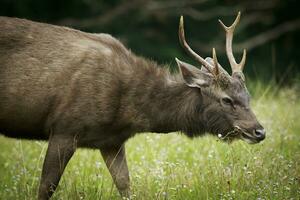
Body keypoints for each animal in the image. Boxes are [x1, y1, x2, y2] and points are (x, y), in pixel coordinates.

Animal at [0, 12, 262, 198]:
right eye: (226, 99)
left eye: (248, 96)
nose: (260, 131)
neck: (128, 111)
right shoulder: (64, 127)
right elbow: (46, 187)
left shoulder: (111, 141)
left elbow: (125, 185)